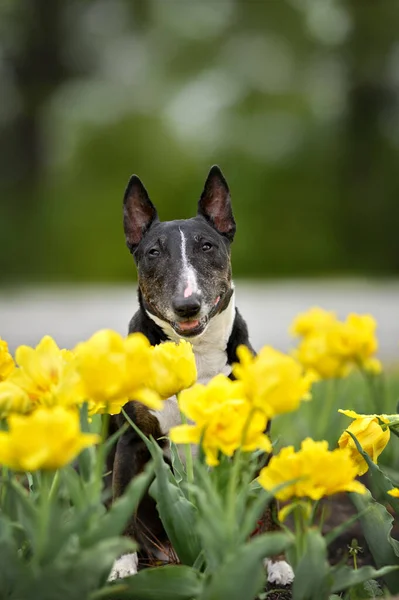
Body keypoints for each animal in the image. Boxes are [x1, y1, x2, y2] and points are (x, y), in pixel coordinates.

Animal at [108, 165, 296, 584]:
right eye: (153, 252)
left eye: (207, 246)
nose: (187, 305)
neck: (195, 354)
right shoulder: (132, 441)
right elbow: (124, 506)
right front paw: (121, 565)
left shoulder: (256, 440)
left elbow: (266, 507)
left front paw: (276, 563)